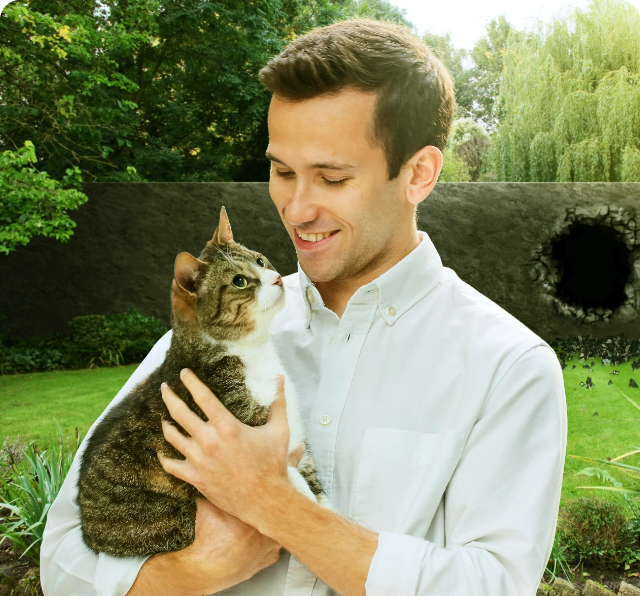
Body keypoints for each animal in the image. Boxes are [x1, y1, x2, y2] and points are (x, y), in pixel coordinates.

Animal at [77, 207, 324, 556]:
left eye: (260, 260)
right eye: (239, 281)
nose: (276, 278)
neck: (252, 353)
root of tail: (88, 532)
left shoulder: (296, 436)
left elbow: (311, 476)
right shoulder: (255, 432)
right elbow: (287, 479)